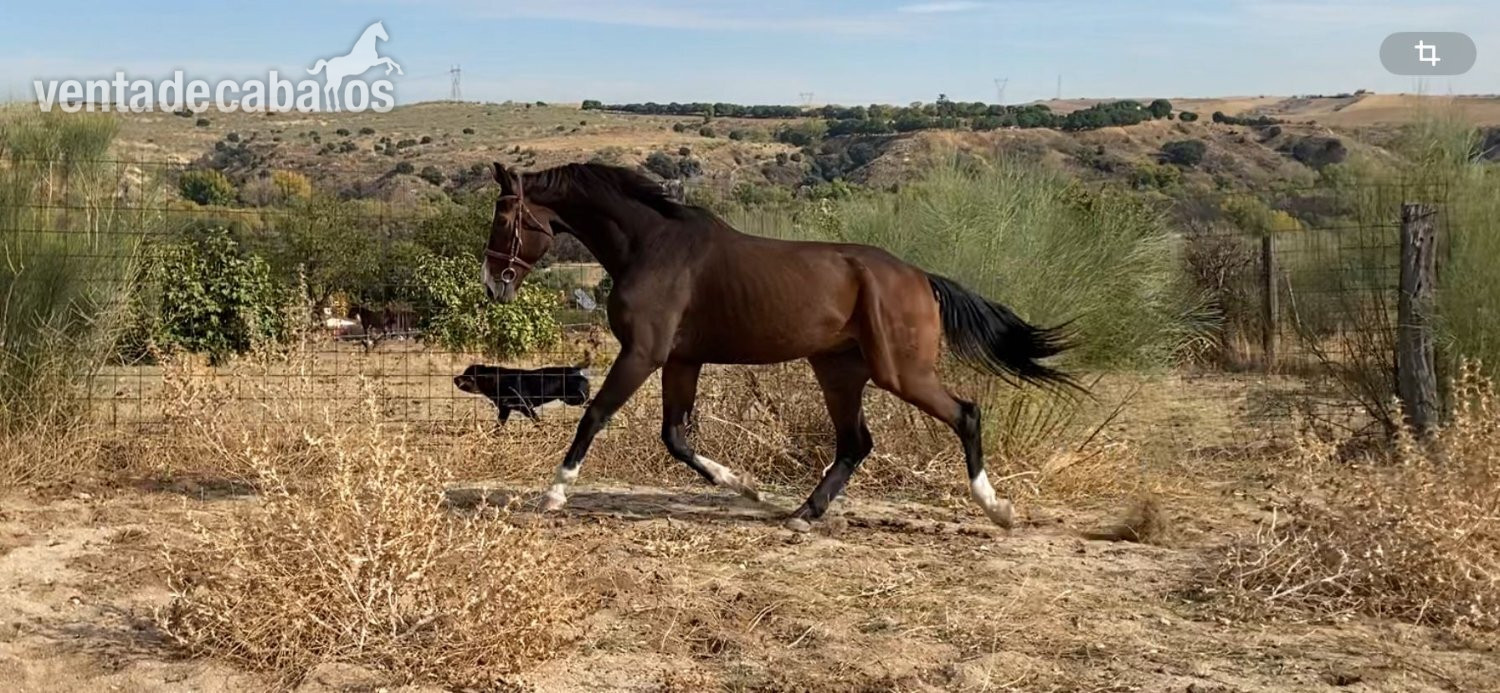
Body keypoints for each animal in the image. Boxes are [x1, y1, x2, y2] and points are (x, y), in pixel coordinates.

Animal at [481, 162, 1076, 532]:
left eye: (505, 220)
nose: (493, 285)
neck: (653, 245)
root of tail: (920, 277)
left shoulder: (642, 355)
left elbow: (596, 416)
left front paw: (554, 493)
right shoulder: (681, 360)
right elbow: (676, 437)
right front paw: (747, 489)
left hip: (899, 372)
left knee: (965, 415)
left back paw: (997, 509)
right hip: (838, 371)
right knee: (855, 443)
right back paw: (802, 513)